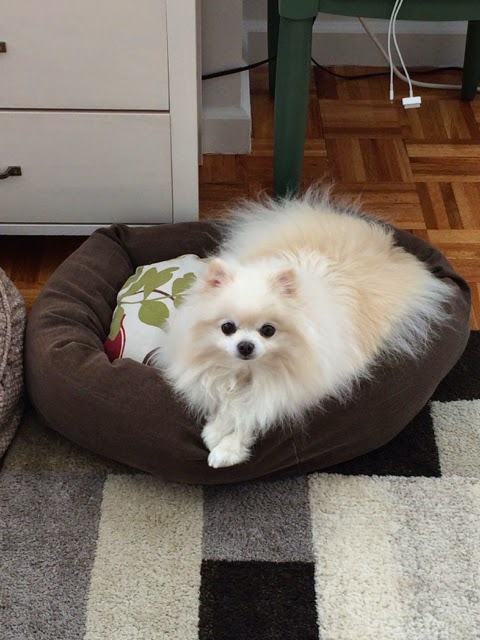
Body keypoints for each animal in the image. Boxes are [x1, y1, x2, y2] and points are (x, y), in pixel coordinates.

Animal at [156, 192, 452, 468]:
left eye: (268, 330)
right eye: (227, 328)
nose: (246, 346)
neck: (249, 371)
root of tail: (385, 241)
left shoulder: (288, 389)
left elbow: (251, 412)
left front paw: (226, 448)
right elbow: (224, 396)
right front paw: (217, 428)